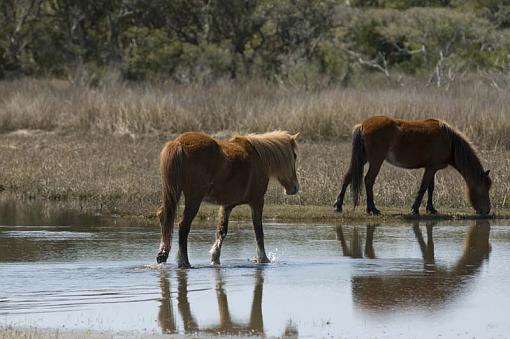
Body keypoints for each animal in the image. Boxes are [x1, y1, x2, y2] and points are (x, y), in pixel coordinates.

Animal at [155, 131, 298, 266]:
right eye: (295, 156)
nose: (295, 188)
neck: (258, 157)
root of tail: (178, 143)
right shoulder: (257, 201)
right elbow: (258, 231)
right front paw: (263, 259)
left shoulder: (227, 205)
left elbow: (222, 231)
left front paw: (215, 258)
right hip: (194, 198)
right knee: (183, 225)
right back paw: (184, 261)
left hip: (173, 192)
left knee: (164, 216)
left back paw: (163, 254)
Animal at [332, 116, 492, 215]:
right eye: (484, 188)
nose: (487, 210)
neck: (449, 140)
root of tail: (363, 125)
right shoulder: (431, 168)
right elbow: (424, 186)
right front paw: (415, 209)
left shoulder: (432, 168)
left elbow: (430, 188)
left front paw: (431, 209)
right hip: (376, 160)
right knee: (368, 180)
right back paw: (373, 208)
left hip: (363, 158)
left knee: (348, 177)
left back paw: (339, 205)